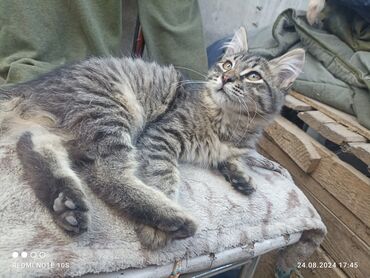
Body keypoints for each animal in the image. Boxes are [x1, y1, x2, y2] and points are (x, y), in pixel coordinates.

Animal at [0, 27, 304, 249]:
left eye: (253, 76)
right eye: (227, 64)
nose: (226, 78)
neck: (228, 123)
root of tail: (34, 85)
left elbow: (239, 157)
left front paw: (243, 174)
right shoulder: (161, 135)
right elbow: (164, 176)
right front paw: (154, 231)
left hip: (53, 130)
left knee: (32, 148)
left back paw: (66, 205)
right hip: (112, 111)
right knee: (104, 176)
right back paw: (174, 218)